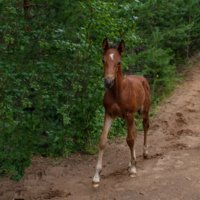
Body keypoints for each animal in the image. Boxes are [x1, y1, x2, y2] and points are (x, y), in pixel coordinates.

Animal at [93, 38, 151, 188]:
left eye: (118, 62)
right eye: (103, 60)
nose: (108, 82)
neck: (117, 92)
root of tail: (143, 79)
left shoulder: (130, 114)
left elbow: (129, 140)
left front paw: (134, 170)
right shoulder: (109, 114)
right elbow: (103, 140)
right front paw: (96, 176)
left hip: (143, 110)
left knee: (145, 126)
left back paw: (145, 153)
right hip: (126, 117)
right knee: (135, 130)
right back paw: (132, 161)